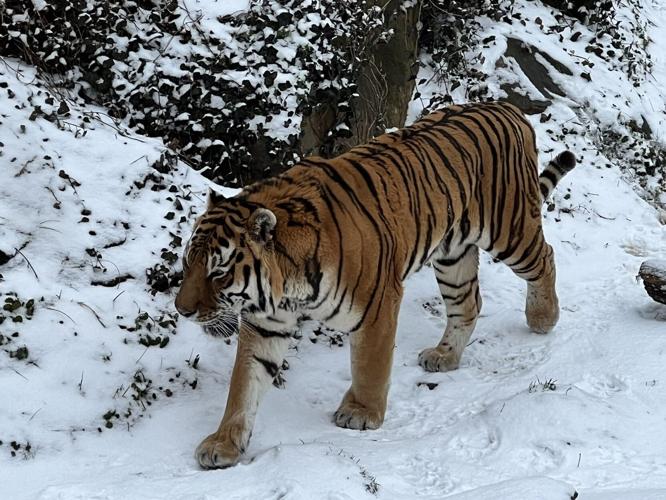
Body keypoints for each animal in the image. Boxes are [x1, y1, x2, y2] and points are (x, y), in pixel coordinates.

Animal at [175, 101, 577, 469]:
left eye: (218, 273)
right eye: (187, 262)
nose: (182, 309)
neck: (286, 286)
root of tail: (507, 107)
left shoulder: (378, 305)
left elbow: (370, 365)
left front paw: (360, 412)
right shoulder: (265, 325)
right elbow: (243, 386)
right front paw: (223, 443)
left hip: (509, 230)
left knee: (546, 257)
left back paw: (543, 317)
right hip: (453, 254)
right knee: (469, 303)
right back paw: (444, 356)